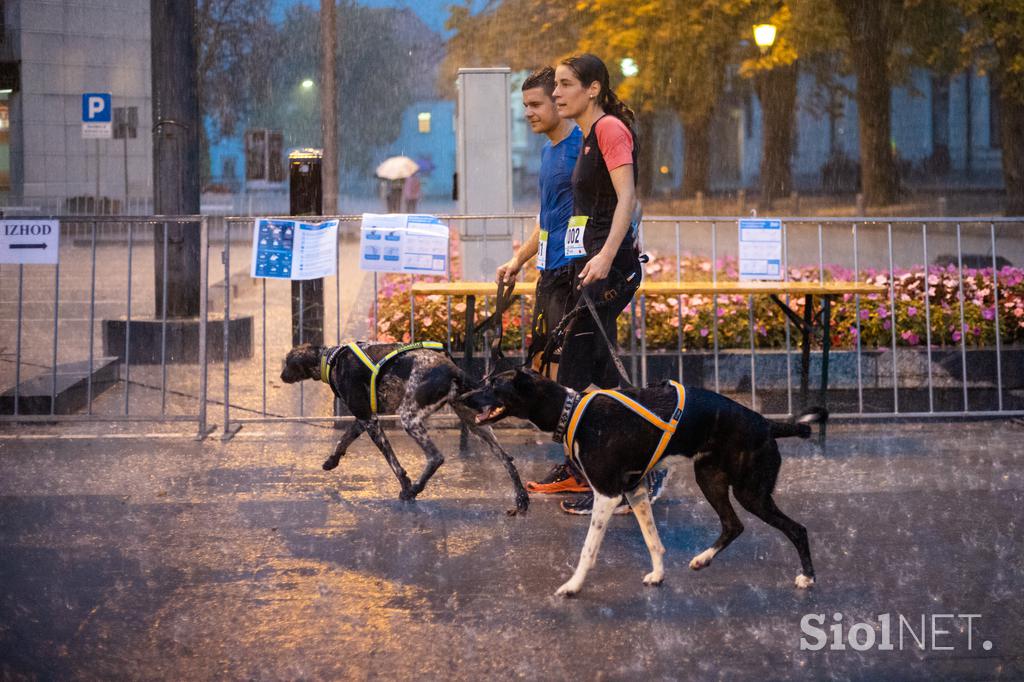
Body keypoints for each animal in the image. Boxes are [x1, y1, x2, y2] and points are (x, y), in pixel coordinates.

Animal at [284, 342, 532, 512]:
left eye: (286, 363)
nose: (281, 375)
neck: (332, 359)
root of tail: (456, 371)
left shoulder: (370, 421)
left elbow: (393, 462)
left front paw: (406, 486)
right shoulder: (363, 418)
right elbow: (343, 439)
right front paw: (332, 461)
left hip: (410, 418)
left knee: (436, 457)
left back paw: (415, 489)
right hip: (476, 424)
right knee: (506, 459)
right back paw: (521, 497)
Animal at [460, 366, 827, 593]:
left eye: (494, 384)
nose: (462, 397)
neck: (570, 408)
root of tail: (768, 424)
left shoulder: (607, 494)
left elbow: (588, 550)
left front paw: (573, 586)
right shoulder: (635, 491)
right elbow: (653, 540)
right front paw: (659, 574)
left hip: (751, 491)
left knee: (797, 529)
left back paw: (808, 577)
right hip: (710, 479)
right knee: (733, 525)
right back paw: (703, 559)